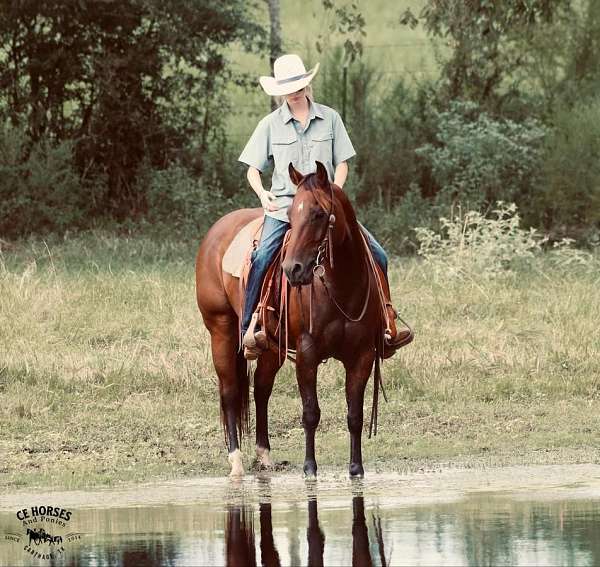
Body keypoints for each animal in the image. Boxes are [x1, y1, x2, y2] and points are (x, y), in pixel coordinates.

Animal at [197, 161, 392, 480]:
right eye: (290, 216)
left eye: (319, 214)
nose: (293, 269)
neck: (340, 288)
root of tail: (216, 231)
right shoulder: (307, 353)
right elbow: (311, 412)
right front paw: (309, 467)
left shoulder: (362, 355)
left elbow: (355, 414)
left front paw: (356, 469)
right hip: (221, 329)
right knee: (230, 391)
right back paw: (236, 461)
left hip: (271, 345)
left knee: (261, 389)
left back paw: (264, 456)